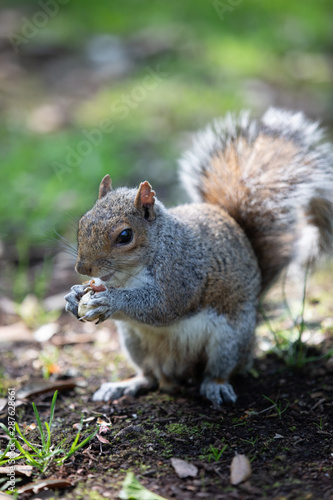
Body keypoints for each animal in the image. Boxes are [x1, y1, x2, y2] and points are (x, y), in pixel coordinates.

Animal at [64, 108, 332, 406]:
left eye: (125, 236)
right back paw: (125, 385)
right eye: (82, 222)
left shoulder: (182, 272)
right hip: (134, 342)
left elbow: (162, 306)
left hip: (229, 340)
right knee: (149, 376)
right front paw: (74, 295)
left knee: (219, 370)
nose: (83, 268)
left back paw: (216, 386)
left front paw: (111, 300)